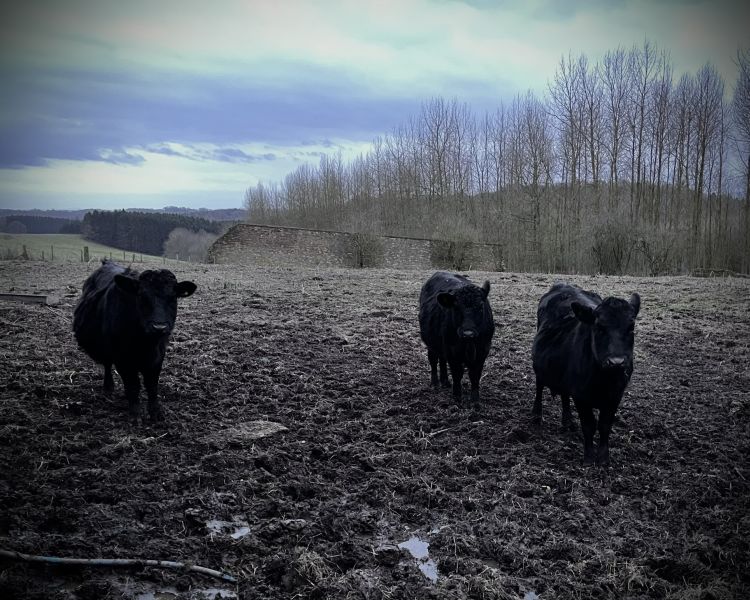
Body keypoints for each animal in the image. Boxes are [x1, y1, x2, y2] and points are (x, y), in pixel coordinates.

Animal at [73, 259, 196, 423]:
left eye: (173, 297)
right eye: (142, 297)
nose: (159, 327)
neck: (144, 343)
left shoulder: (157, 357)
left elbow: (152, 384)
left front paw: (155, 412)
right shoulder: (122, 359)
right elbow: (133, 385)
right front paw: (136, 413)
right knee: (107, 365)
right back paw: (108, 387)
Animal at [419, 272, 494, 404]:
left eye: (480, 307)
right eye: (456, 307)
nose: (468, 333)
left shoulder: (483, 351)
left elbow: (475, 375)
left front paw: (475, 400)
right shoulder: (452, 351)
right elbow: (457, 373)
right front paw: (457, 396)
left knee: (442, 360)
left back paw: (445, 381)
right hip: (432, 343)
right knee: (433, 360)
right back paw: (435, 383)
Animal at [531, 282, 640, 466]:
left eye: (631, 327)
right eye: (599, 327)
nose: (616, 362)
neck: (603, 381)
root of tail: (563, 285)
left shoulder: (615, 396)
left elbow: (604, 426)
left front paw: (603, 458)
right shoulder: (581, 397)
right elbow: (589, 425)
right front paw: (589, 457)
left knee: (564, 395)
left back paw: (568, 421)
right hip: (540, 366)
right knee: (539, 386)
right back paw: (537, 415)